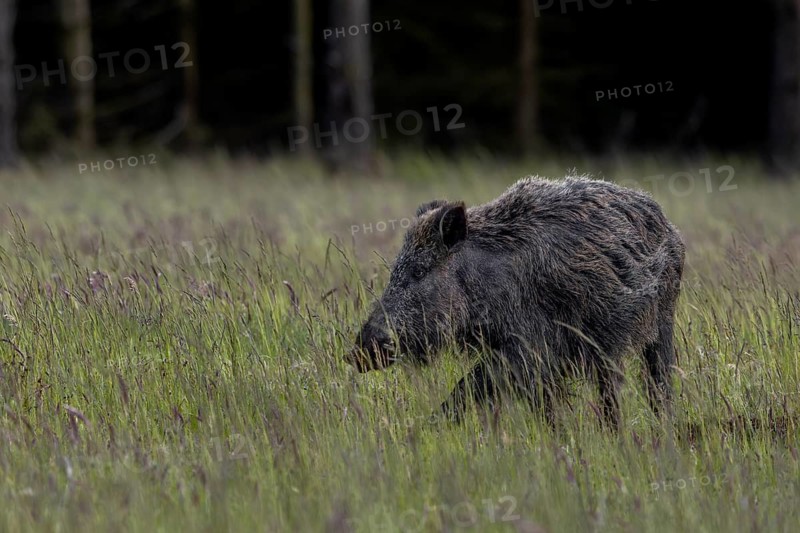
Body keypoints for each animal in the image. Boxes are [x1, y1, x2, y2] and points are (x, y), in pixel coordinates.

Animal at [347, 175, 685, 428]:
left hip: (661, 320)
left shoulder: (528, 347)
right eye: (395, 269)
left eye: (419, 271)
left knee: (656, 383)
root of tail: (667, 222)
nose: (356, 353)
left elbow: (467, 387)